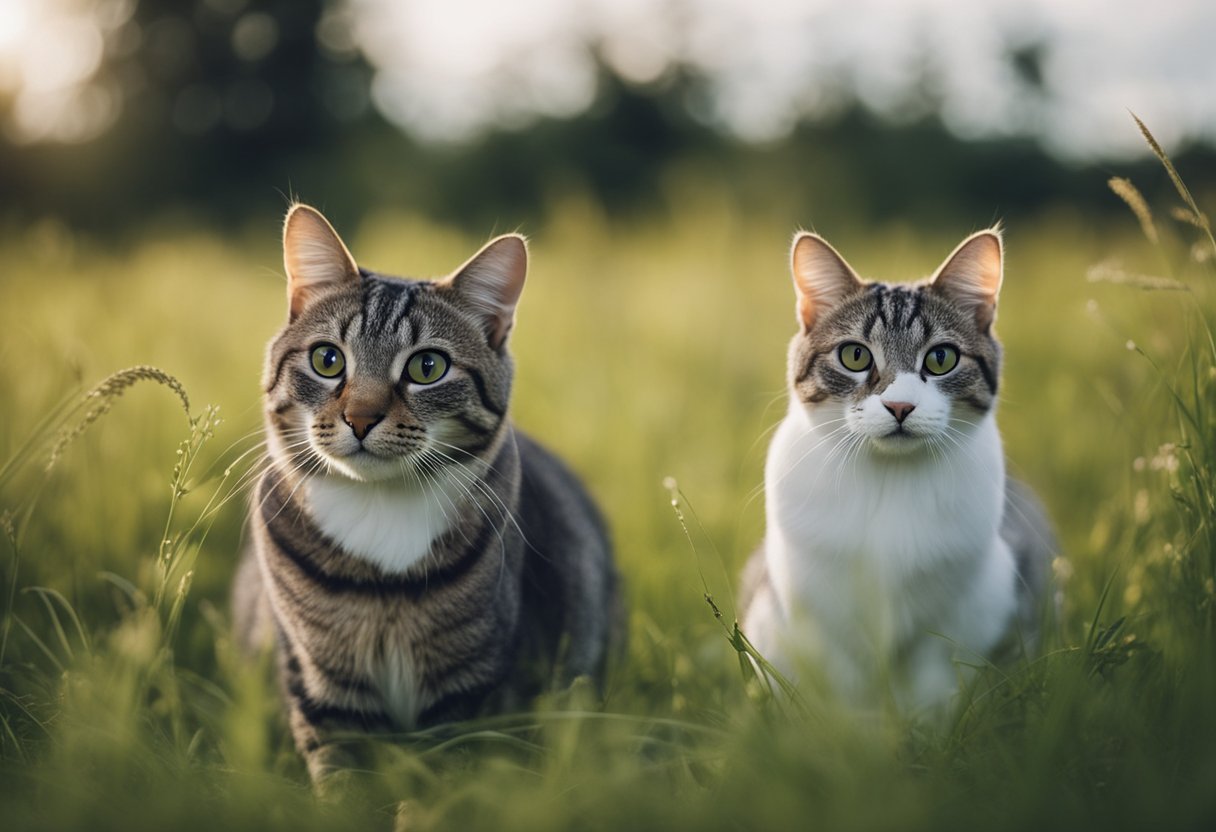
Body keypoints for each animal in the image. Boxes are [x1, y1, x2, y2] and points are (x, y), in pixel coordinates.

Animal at [233, 204, 622, 783]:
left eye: (427, 367)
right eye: (328, 360)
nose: (360, 418)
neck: (378, 511)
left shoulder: (468, 691)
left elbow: (449, 771)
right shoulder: (320, 685)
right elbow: (342, 777)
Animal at [739, 227, 1055, 710]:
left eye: (941, 358)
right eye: (854, 356)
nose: (900, 406)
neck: (887, 479)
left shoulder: (960, 605)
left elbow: (934, 675)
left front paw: (926, 725)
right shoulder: (813, 604)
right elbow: (841, 682)